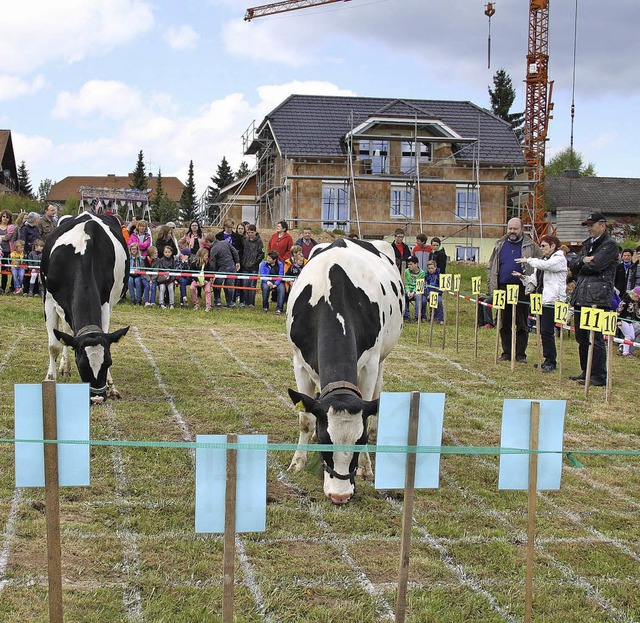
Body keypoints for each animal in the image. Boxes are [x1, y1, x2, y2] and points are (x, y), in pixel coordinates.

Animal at [41, 212, 130, 402]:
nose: (97, 399)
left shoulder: (105, 303)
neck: (82, 254)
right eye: (81, 364)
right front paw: (50, 379)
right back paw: (64, 367)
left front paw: (112, 387)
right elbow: (54, 345)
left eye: (108, 362)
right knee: (65, 332)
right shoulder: (49, 300)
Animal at [286, 236, 402, 504]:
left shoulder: (370, 364)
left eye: (361, 441)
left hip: (382, 358)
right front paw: (298, 462)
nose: (340, 496)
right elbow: (306, 418)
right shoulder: (299, 362)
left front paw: (365, 468)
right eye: (326, 442)